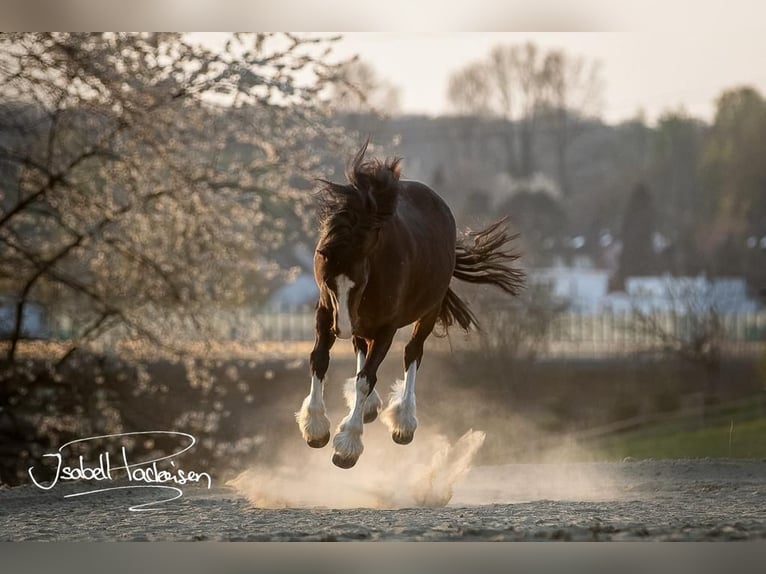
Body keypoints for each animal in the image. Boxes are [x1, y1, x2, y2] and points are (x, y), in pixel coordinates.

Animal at [296, 142, 524, 470]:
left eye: (359, 282)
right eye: (328, 281)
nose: (342, 329)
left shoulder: (386, 327)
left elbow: (367, 378)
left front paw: (347, 445)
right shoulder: (326, 311)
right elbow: (319, 360)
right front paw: (315, 429)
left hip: (428, 311)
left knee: (412, 353)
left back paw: (403, 421)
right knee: (361, 347)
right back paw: (369, 407)